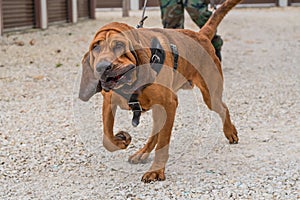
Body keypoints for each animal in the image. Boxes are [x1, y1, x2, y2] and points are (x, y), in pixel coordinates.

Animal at [78, 0, 240, 182]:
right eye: (95, 47)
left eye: (119, 45)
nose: (101, 67)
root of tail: (201, 36)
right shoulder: (109, 103)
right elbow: (107, 137)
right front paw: (122, 140)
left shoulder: (169, 104)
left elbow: (163, 143)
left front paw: (156, 171)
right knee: (155, 133)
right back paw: (142, 153)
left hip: (209, 96)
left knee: (223, 108)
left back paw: (230, 132)